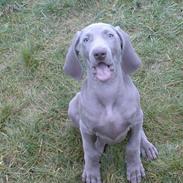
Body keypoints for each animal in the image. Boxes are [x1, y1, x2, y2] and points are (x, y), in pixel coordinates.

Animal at [63, 22, 158, 183]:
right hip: (73, 106)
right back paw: (99, 146)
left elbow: (132, 147)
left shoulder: (135, 119)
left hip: (139, 114)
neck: (107, 90)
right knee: (97, 142)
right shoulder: (85, 128)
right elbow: (89, 152)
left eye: (110, 35)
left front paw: (134, 169)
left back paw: (146, 146)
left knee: (139, 132)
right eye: (86, 39)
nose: (99, 53)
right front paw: (91, 172)